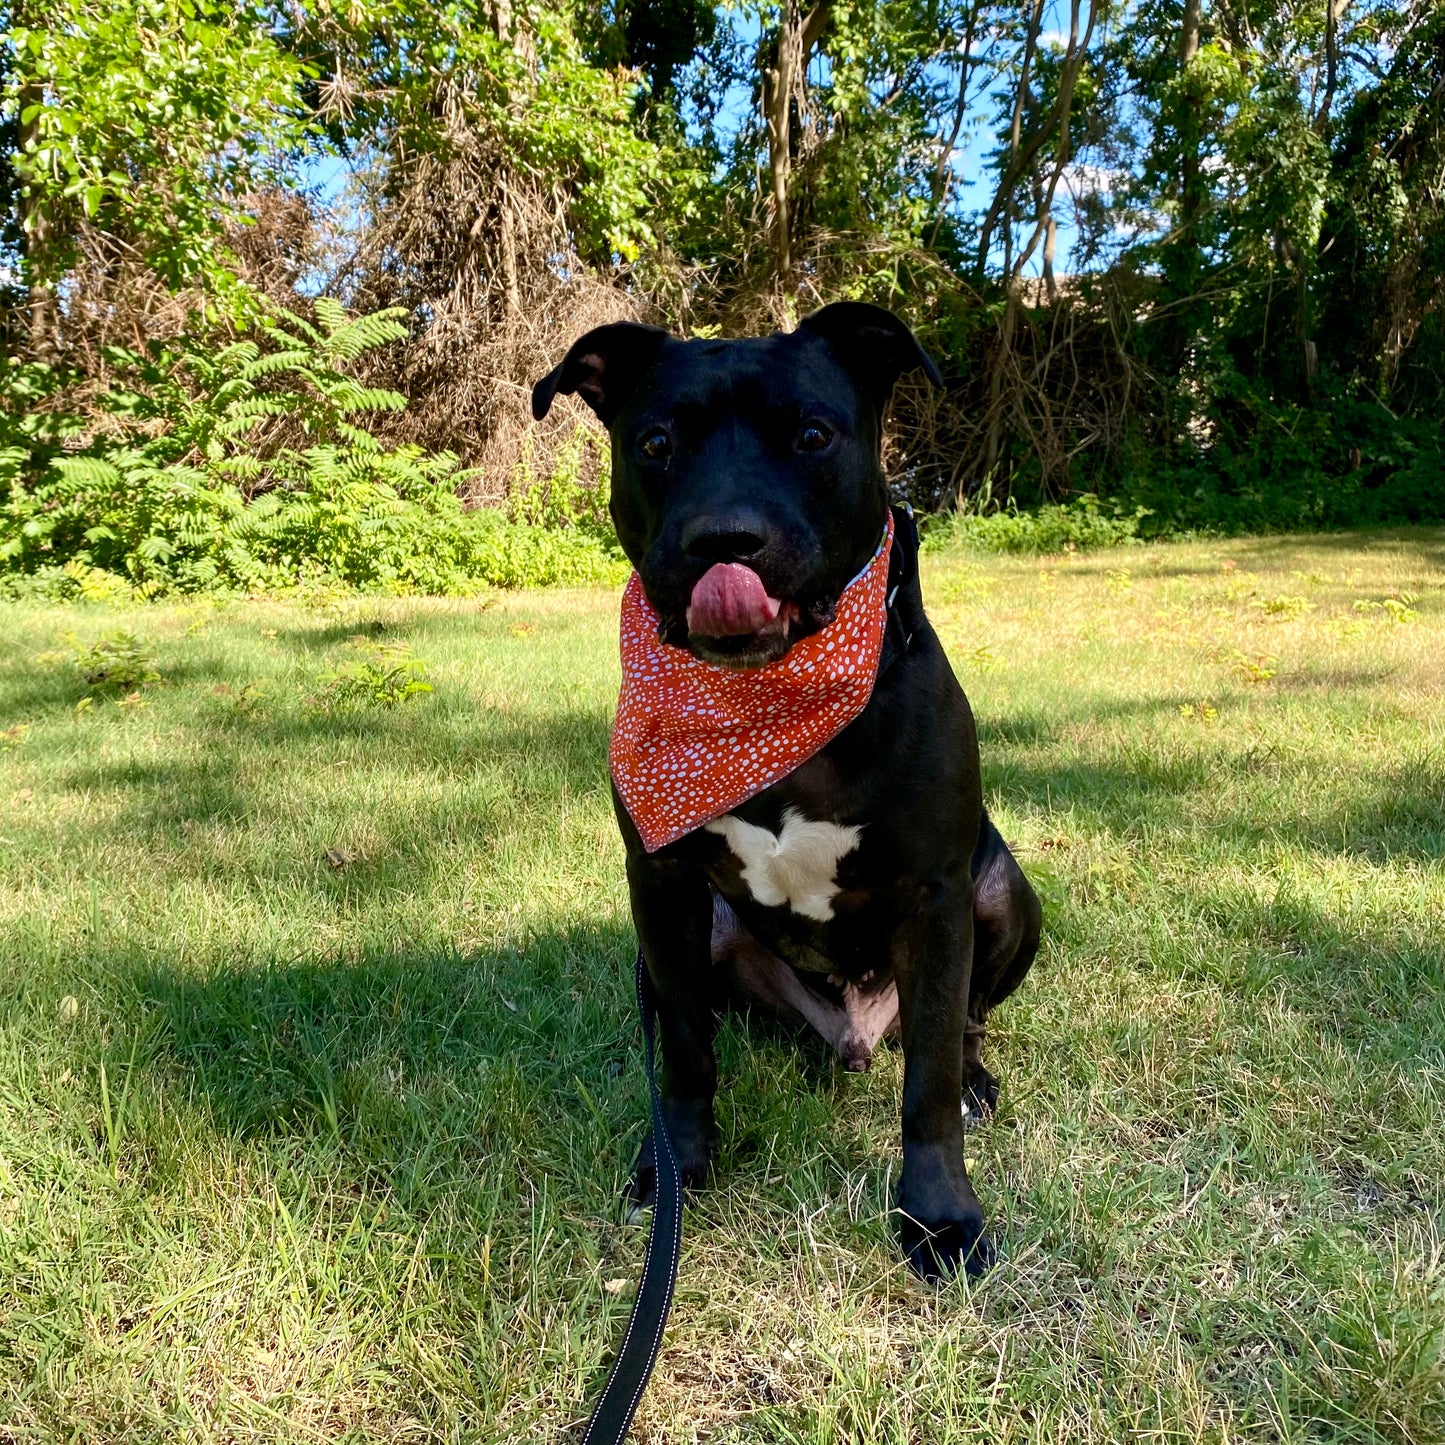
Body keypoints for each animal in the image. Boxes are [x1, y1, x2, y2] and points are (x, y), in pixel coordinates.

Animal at [531, 302, 1040, 1277]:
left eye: (812, 435)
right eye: (655, 442)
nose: (724, 540)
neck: (766, 703)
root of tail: (857, 1030)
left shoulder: (937, 893)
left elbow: (928, 1085)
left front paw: (939, 1215)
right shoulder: (662, 890)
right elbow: (686, 1053)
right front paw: (677, 1165)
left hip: (998, 892)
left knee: (961, 1025)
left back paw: (976, 1078)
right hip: (716, 937)